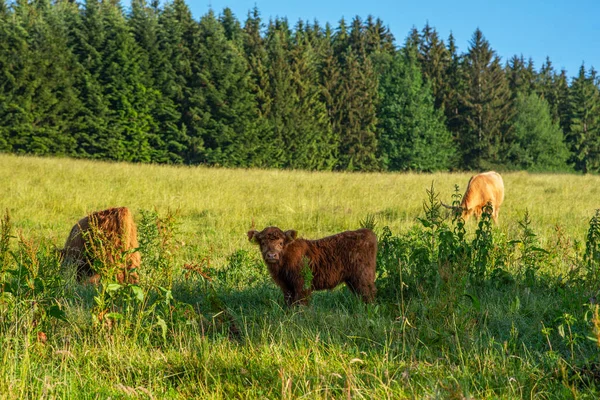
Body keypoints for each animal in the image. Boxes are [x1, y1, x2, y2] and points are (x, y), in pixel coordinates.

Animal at [246, 227, 378, 304]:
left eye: (281, 243)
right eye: (263, 243)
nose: (272, 255)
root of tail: (365, 232)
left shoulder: (302, 285)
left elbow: (301, 303)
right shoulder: (286, 286)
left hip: (363, 277)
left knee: (368, 294)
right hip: (353, 280)